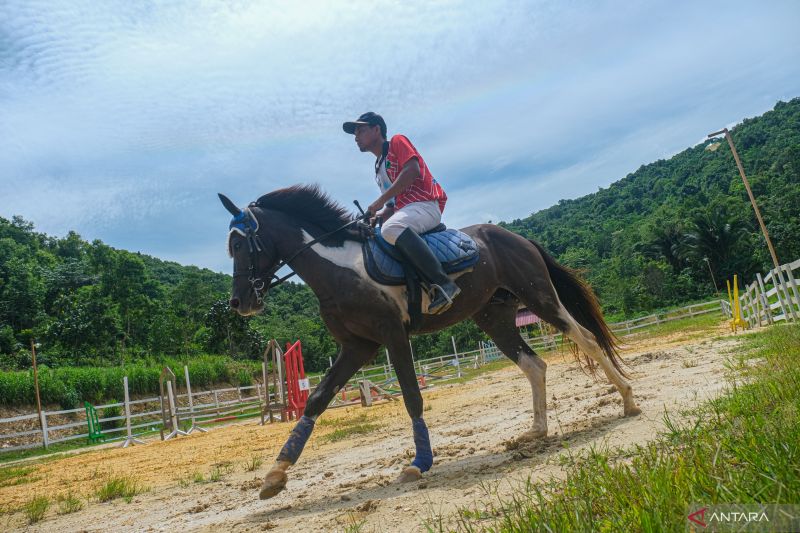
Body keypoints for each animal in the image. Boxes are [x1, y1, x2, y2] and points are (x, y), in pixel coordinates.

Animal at [216, 184, 640, 498]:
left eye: (238, 244)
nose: (239, 303)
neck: (338, 268)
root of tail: (513, 236)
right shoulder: (357, 346)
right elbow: (317, 400)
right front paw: (275, 474)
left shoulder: (391, 335)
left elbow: (411, 396)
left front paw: (419, 463)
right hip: (494, 317)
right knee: (534, 364)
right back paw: (536, 431)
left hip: (539, 297)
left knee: (586, 338)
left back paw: (627, 400)